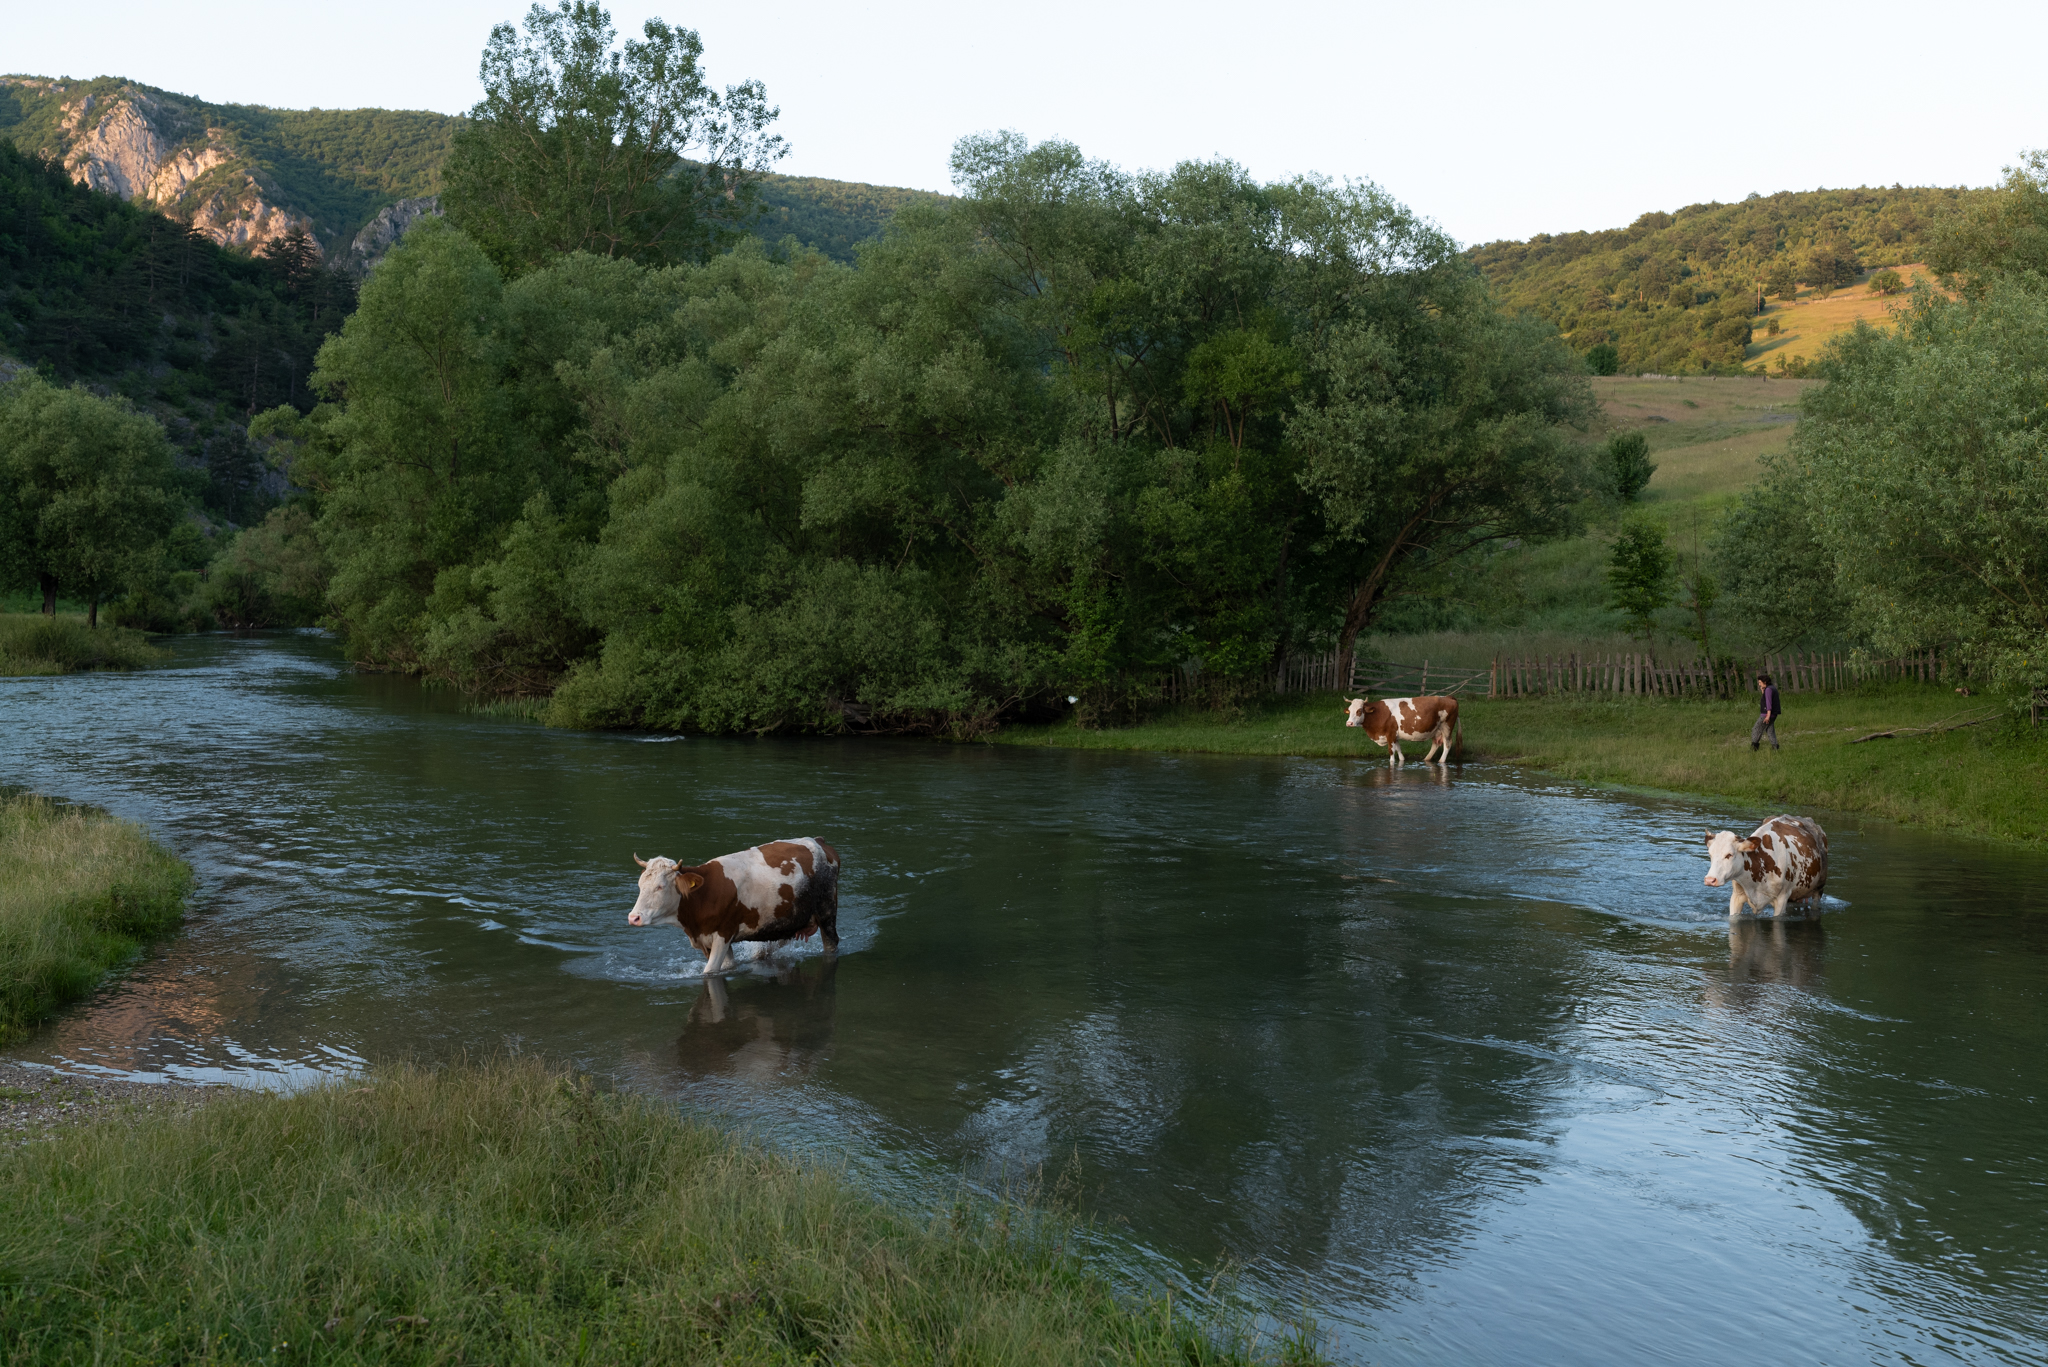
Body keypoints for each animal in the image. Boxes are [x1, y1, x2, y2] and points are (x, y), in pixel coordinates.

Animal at [627, 838, 840, 974]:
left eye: (660, 886)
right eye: (640, 885)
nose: (633, 917)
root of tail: (819, 841)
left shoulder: (723, 934)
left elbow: (710, 971)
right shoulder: (708, 939)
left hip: (827, 911)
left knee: (831, 943)